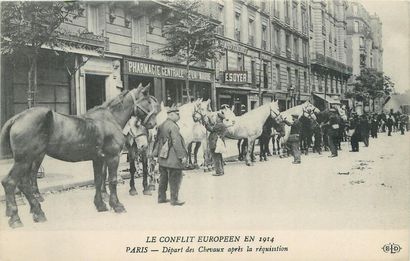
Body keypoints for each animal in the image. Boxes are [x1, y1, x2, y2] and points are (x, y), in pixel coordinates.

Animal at [0, 82, 157, 226]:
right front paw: (117, 205)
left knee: (23, 183)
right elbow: (112, 181)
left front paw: (100, 205)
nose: (153, 124)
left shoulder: (98, 159)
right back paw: (16, 217)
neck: (110, 119)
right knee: (10, 182)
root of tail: (16, 118)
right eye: (148, 101)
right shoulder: (112, 157)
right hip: (25, 160)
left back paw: (37, 212)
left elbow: (98, 180)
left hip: (29, 159)